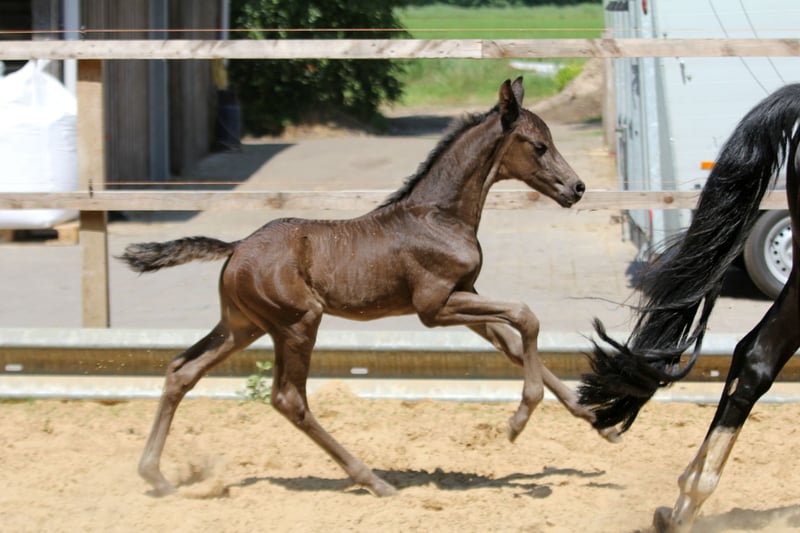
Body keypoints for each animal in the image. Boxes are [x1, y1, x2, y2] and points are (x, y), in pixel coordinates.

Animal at [120, 77, 619, 497]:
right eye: (539, 145)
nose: (576, 188)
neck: (440, 215)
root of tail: (236, 246)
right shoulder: (434, 308)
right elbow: (526, 316)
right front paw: (519, 420)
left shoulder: (465, 296)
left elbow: (514, 345)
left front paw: (599, 421)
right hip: (298, 323)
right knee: (288, 398)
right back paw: (374, 481)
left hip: (244, 325)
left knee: (182, 370)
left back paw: (155, 475)